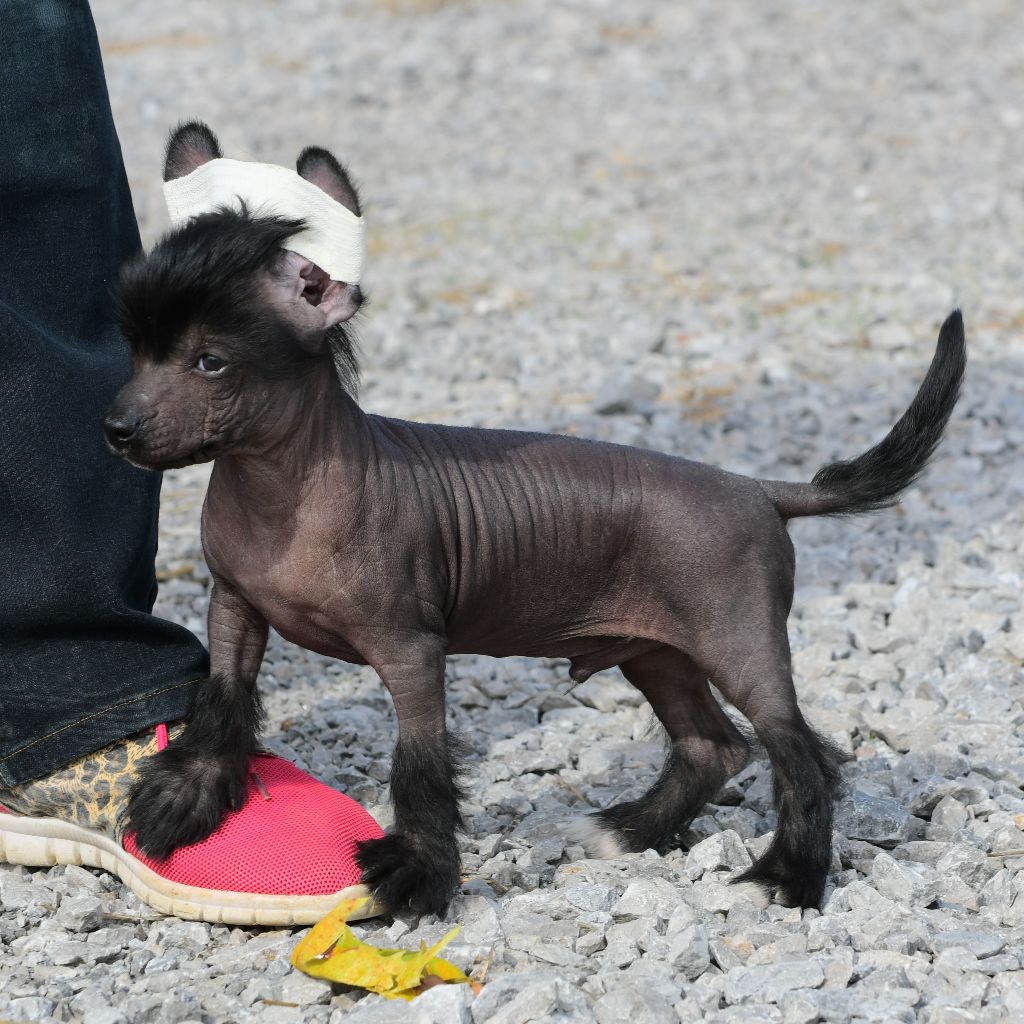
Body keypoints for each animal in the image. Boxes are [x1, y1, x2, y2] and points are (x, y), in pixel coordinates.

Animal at [105, 123, 966, 917]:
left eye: (210, 363)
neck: (280, 484)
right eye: (136, 349)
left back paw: (792, 877)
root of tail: (757, 488)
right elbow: (222, 703)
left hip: (738, 642)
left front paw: (419, 872)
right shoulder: (234, 609)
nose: (115, 429)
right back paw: (631, 829)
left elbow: (420, 763)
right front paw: (186, 798)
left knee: (800, 756)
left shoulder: (412, 651)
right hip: (656, 652)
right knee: (713, 746)